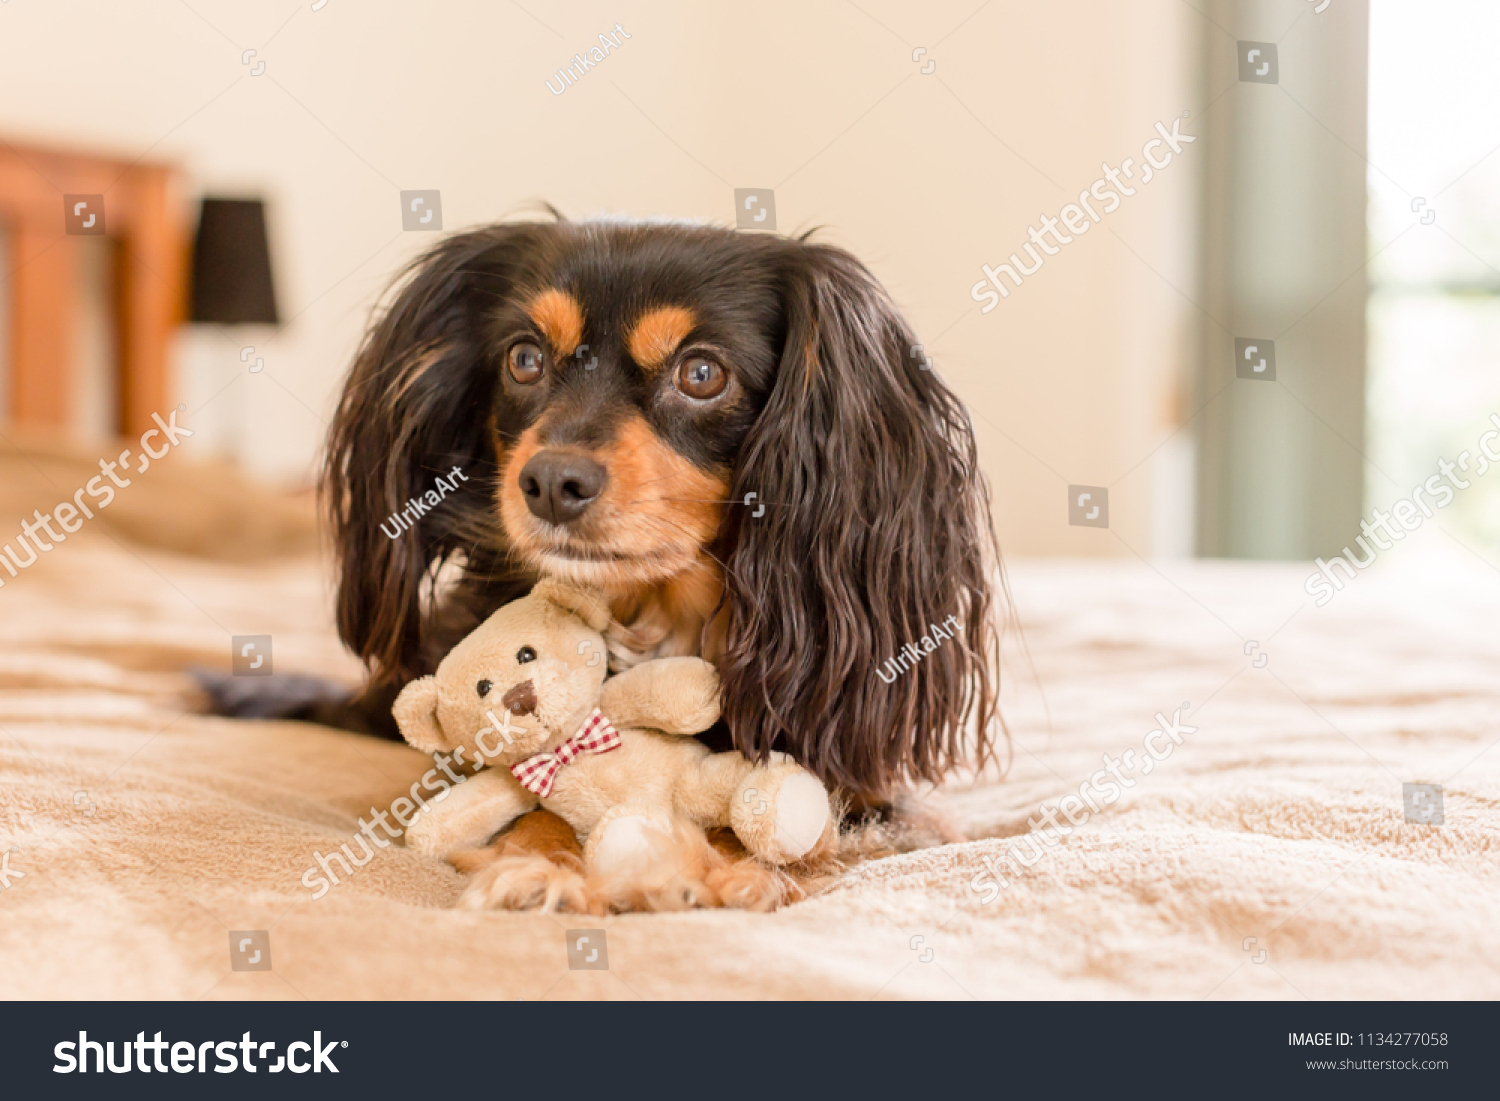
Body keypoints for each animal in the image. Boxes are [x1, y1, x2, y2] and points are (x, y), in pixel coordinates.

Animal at [219, 213, 1008, 906]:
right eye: (524, 358)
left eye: (701, 373)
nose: (550, 482)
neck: (652, 613)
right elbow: (532, 805)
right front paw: (546, 865)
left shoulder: (872, 794)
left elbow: (771, 820)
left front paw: (706, 866)